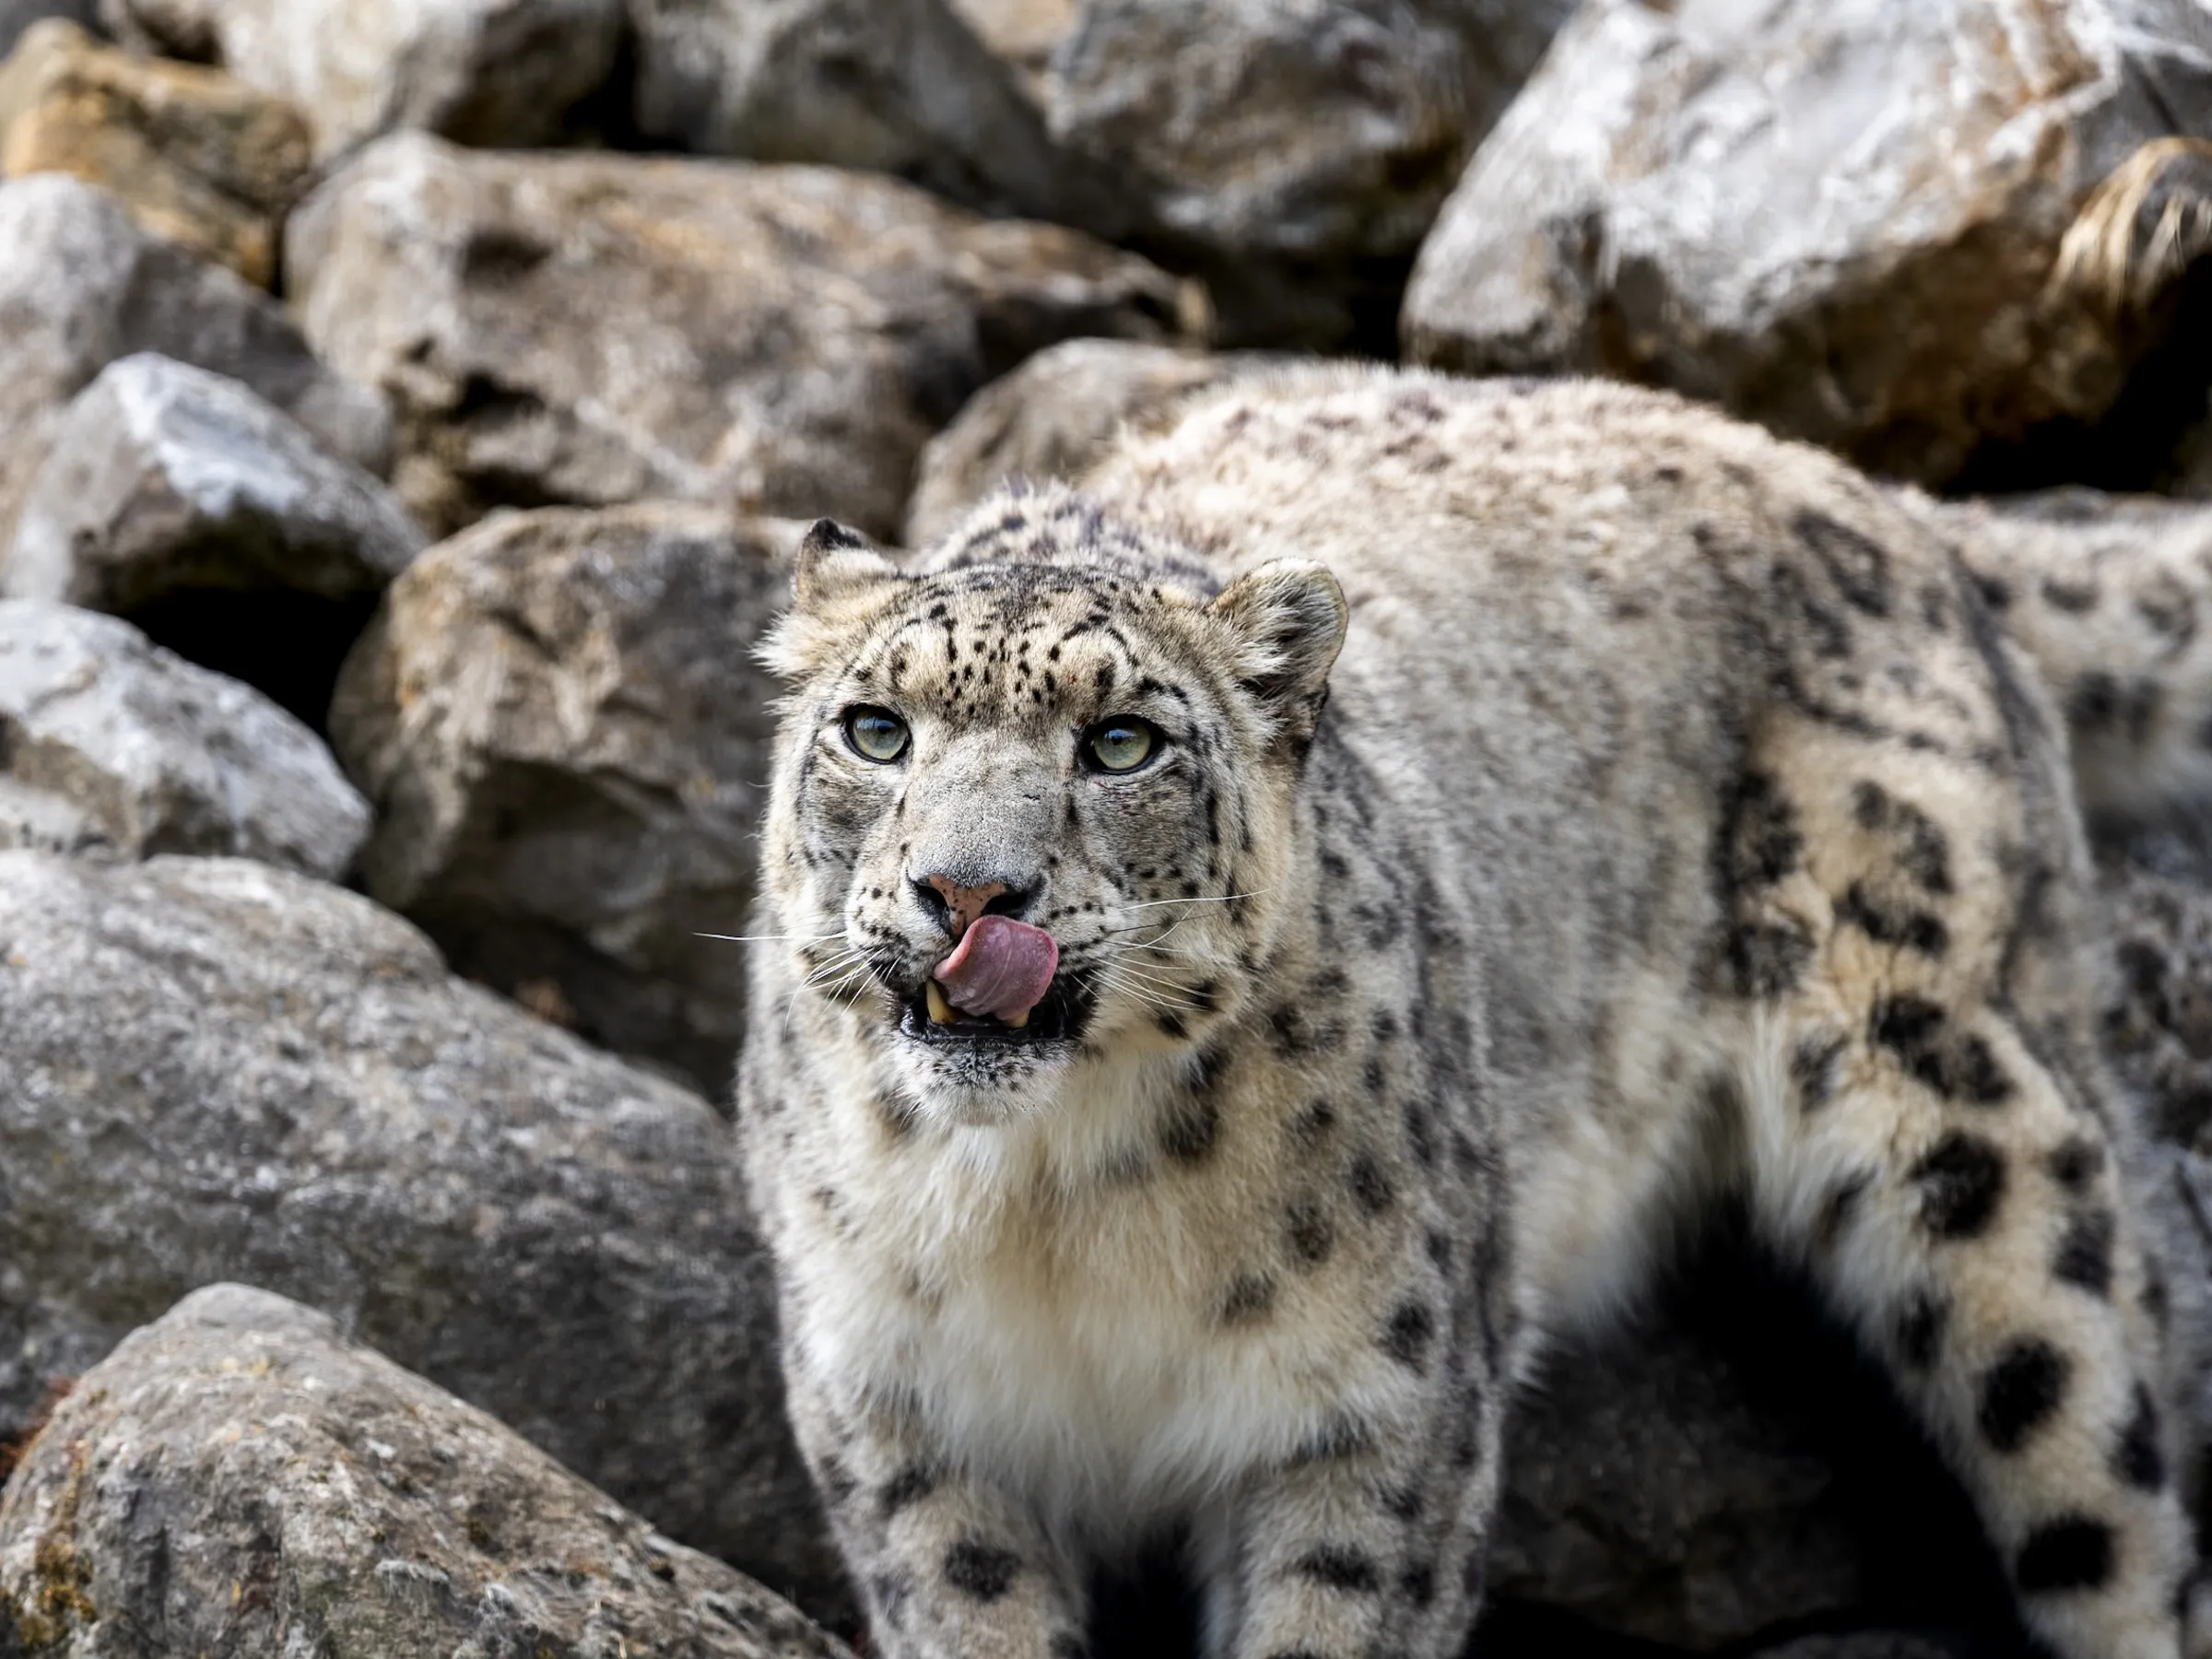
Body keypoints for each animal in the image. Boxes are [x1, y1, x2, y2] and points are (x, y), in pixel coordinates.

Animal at [736, 364, 2212, 1659]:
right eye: (876, 730)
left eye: (1121, 744)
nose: (967, 891)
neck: (1047, 1204)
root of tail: (1864, 485)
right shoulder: (905, 1420)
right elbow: (974, 1611)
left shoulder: (1378, 1409)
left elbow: (1336, 1617)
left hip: (1958, 1098)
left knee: (2109, 1469)